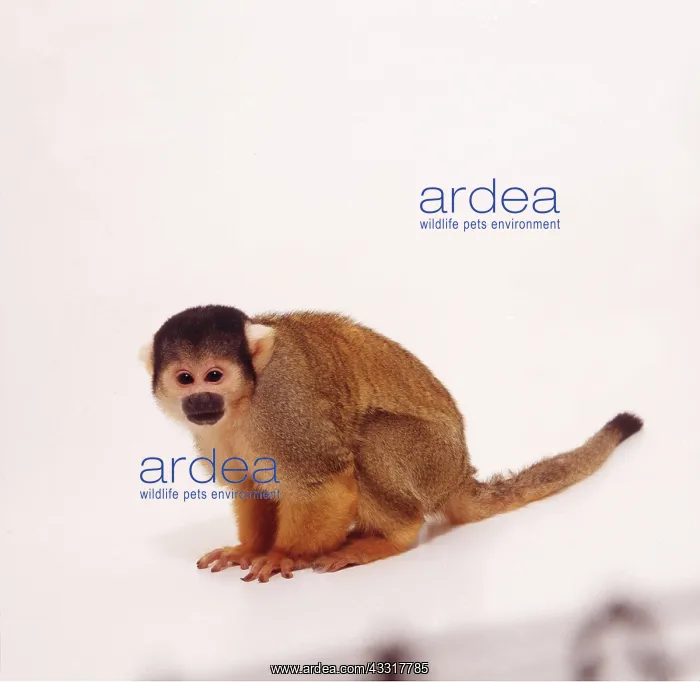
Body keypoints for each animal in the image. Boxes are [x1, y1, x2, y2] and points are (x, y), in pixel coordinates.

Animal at [140, 304, 643, 583]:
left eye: (214, 375)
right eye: (184, 378)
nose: (200, 400)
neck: (244, 403)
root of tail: (461, 471)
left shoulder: (286, 406)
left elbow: (324, 479)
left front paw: (285, 554)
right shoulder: (211, 432)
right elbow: (252, 487)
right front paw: (250, 549)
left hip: (430, 459)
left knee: (371, 441)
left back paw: (390, 538)